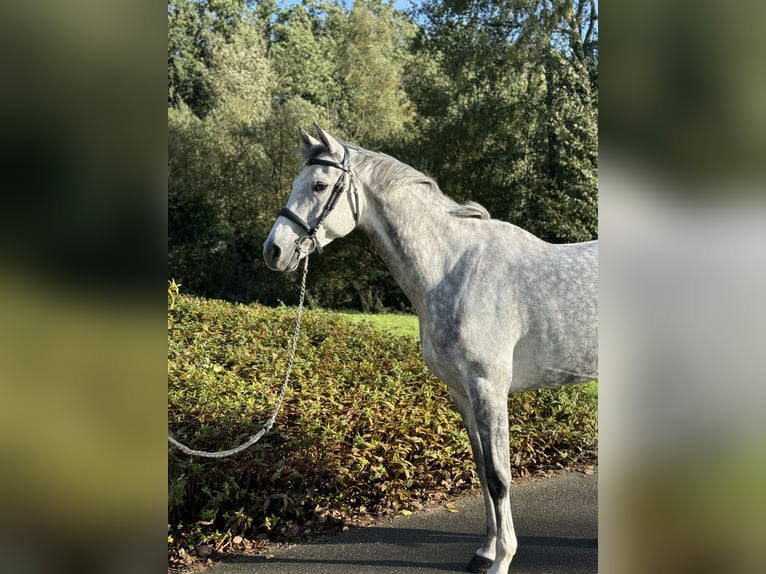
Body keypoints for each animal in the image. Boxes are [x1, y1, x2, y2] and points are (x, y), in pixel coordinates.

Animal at [266, 126, 600, 574]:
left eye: (319, 185)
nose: (274, 251)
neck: (453, 267)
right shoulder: (462, 392)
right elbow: (482, 470)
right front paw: (484, 553)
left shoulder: (488, 388)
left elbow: (499, 476)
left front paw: (502, 559)